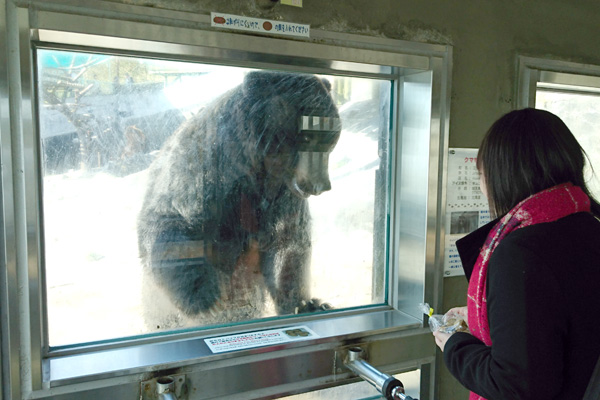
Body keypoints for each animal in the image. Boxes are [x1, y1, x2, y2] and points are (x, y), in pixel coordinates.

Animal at [138, 71, 340, 328]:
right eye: (307, 138)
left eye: (331, 140)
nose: (321, 185)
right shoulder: (205, 171)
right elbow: (171, 222)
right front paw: (207, 299)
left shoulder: (280, 196)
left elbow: (288, 242)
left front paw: (305, 304)